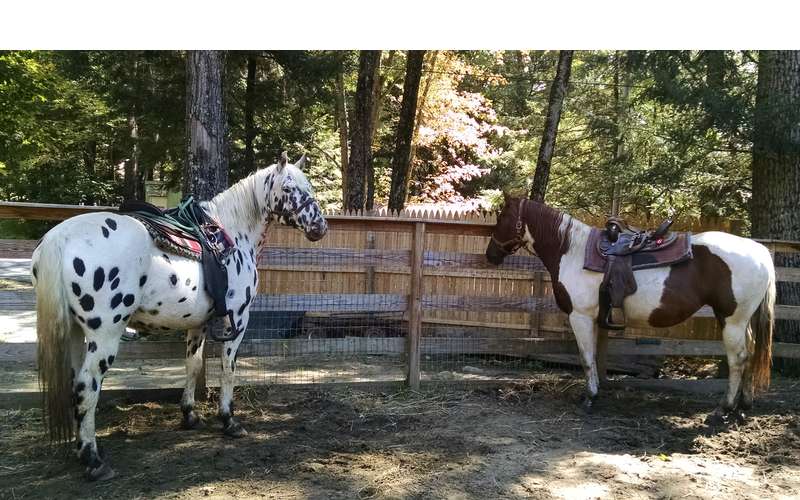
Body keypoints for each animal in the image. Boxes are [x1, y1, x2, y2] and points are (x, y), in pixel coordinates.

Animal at [32, 153, 327, 481]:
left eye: (309, 186)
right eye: (288, 189)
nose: (319, 226)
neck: (233, 232)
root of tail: (60, 237)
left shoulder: (196, 324)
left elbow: (193, 365)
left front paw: (190, 415)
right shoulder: (238, 320)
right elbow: (227, 369)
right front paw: (229, 420)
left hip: (74, 331)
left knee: (75, 383)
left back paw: (81, 447)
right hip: (104, 335)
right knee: (87, 386)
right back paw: (93, 459)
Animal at [485, 194, 775, 421]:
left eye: (502, 217)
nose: (490, 255)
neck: (572, 250)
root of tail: (759, 251)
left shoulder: (580, 317)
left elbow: (586, 358)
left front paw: (590, 397)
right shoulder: (591, 318)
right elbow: (591, 357)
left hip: (732, 320)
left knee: (738, 359)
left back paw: (723, 408)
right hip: (742, 321)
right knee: (750, 354)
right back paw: (744, 404)